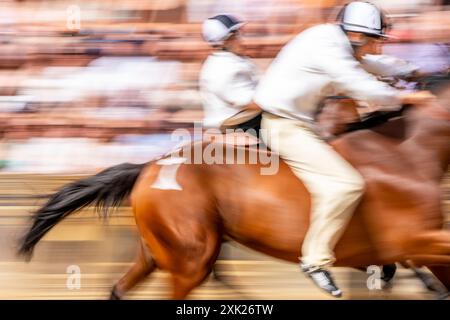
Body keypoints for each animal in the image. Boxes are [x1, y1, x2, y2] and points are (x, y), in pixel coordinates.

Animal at [17, 85, 450, 300]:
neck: (406, 153)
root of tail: (151, 165)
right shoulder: (415, 238)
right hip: (191, 259)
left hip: (158, 253)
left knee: (119, 289)